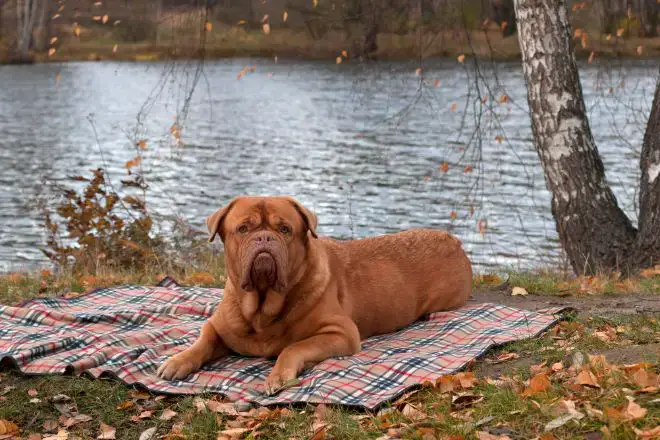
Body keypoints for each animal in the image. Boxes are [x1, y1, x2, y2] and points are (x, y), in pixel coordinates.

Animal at [157, 194, 472, 394]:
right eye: (243, 228)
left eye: (285, 229)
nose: (264, 237)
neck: (262, 307)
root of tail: (454, 241)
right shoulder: (218, 326)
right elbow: (203, 340)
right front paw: (177, 362)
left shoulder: (341, 332)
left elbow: (294, 347)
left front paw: (279, 375)